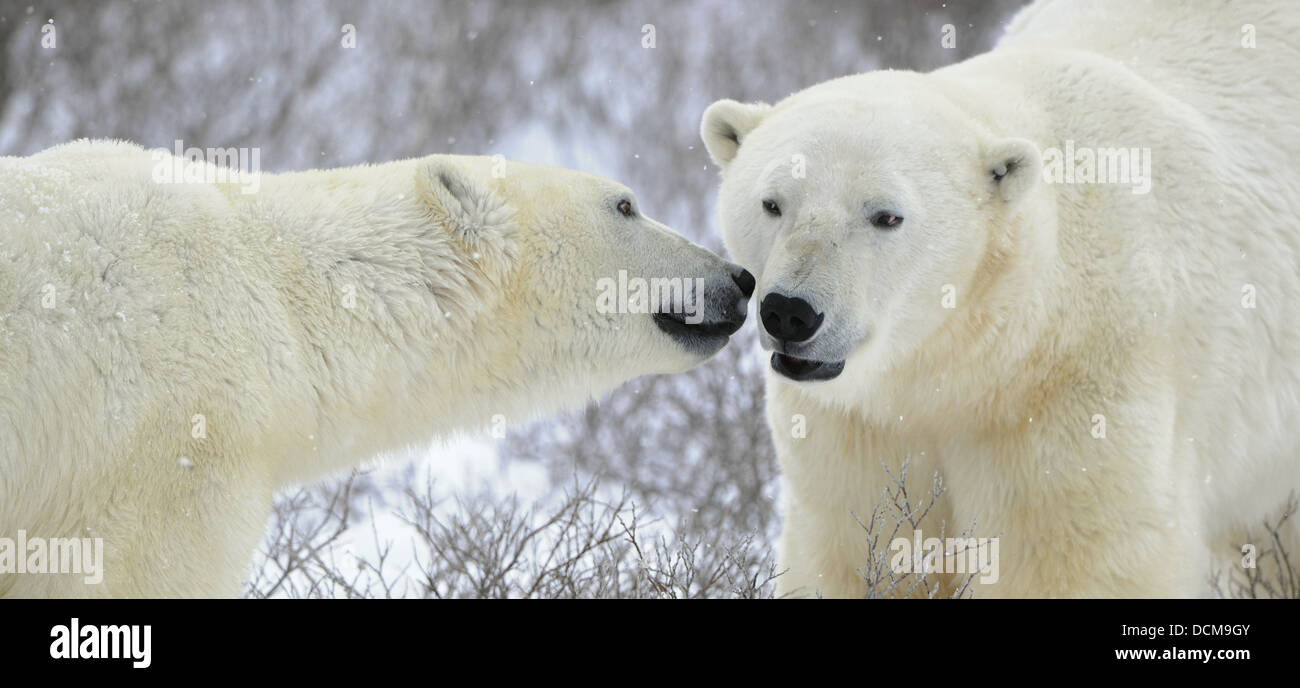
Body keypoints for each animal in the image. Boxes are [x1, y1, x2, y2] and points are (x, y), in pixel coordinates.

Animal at [702, 0, 1300, 595]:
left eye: (886, 215)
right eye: (772, 203)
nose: (790, 312)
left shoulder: (1073, 391)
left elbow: (1073, 558)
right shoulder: (856, 423)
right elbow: (857, 544)